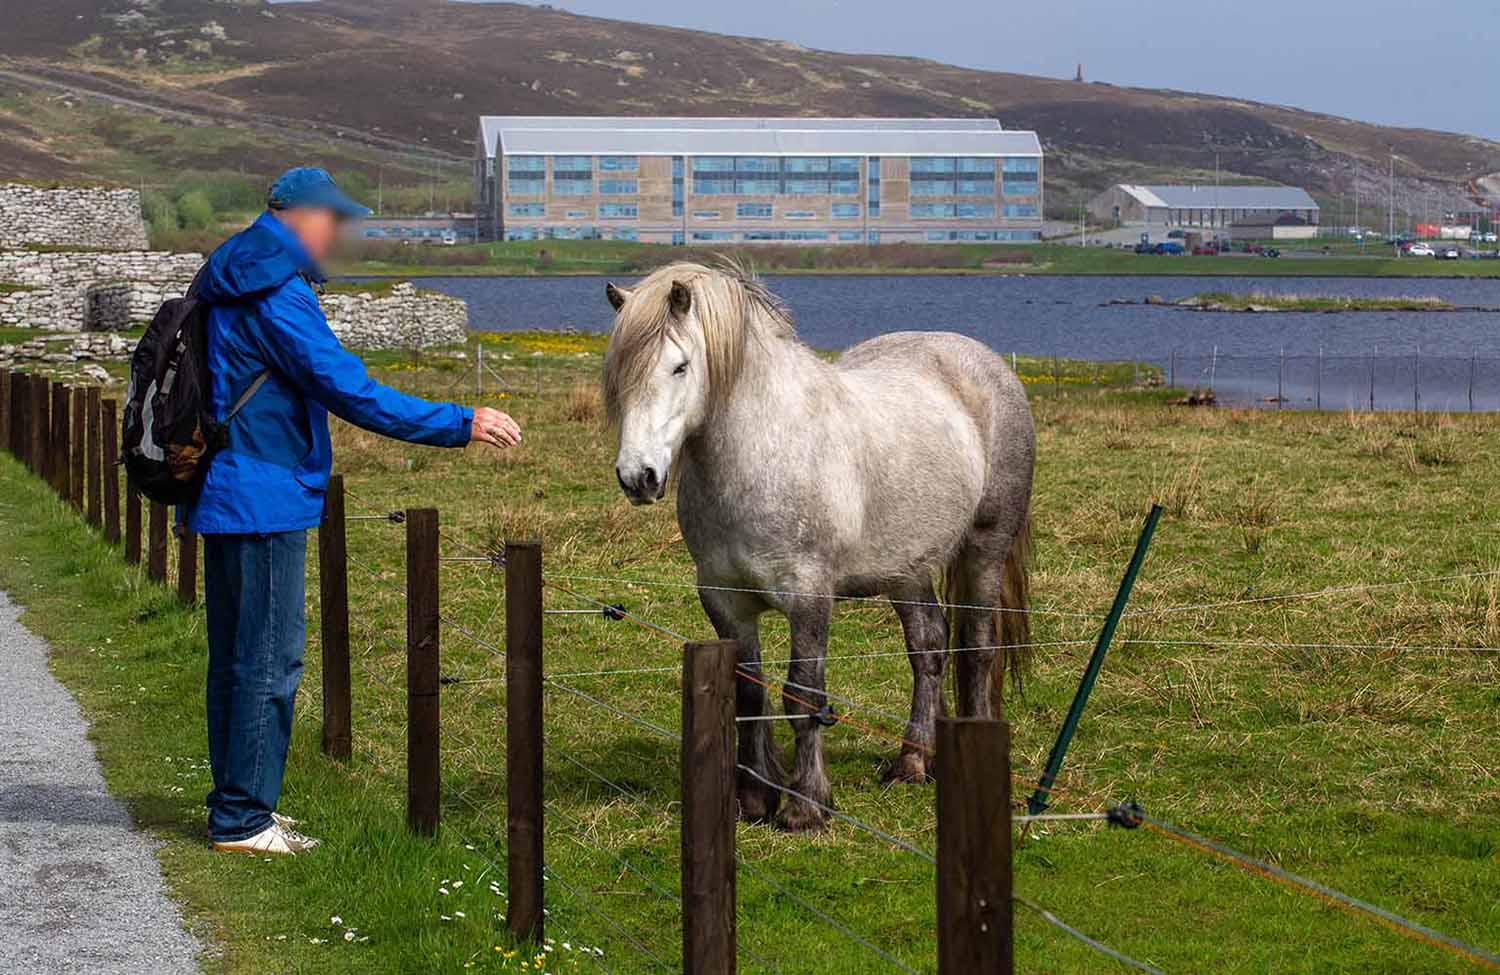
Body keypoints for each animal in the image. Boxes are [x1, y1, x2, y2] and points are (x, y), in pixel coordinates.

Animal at [603, 262, 1038, 834]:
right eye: (619, 370)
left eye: (679, 367)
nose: (639, 477)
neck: (759, 454)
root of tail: (986, 364)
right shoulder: (725, 600)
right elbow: (749, 692)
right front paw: (753, 797)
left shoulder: (808, 597)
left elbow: (802, 693)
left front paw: (805, 804)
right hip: (908, 568)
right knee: (928, 647)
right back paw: (913, 761)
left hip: (983, 550)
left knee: (978, 648)